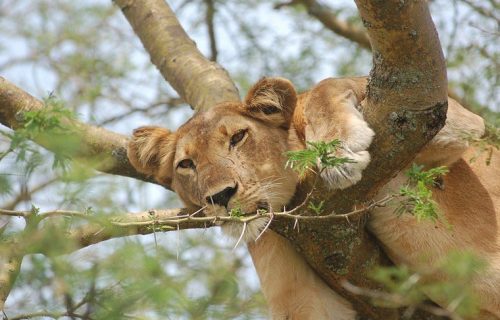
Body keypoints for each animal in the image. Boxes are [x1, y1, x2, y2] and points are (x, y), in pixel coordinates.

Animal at [127, 76, 498, 318]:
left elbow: (328, 85)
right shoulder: (300, 292)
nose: (220, 196)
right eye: (186, 164)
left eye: (238, 137)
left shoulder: (451, 126)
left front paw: (341, 148)